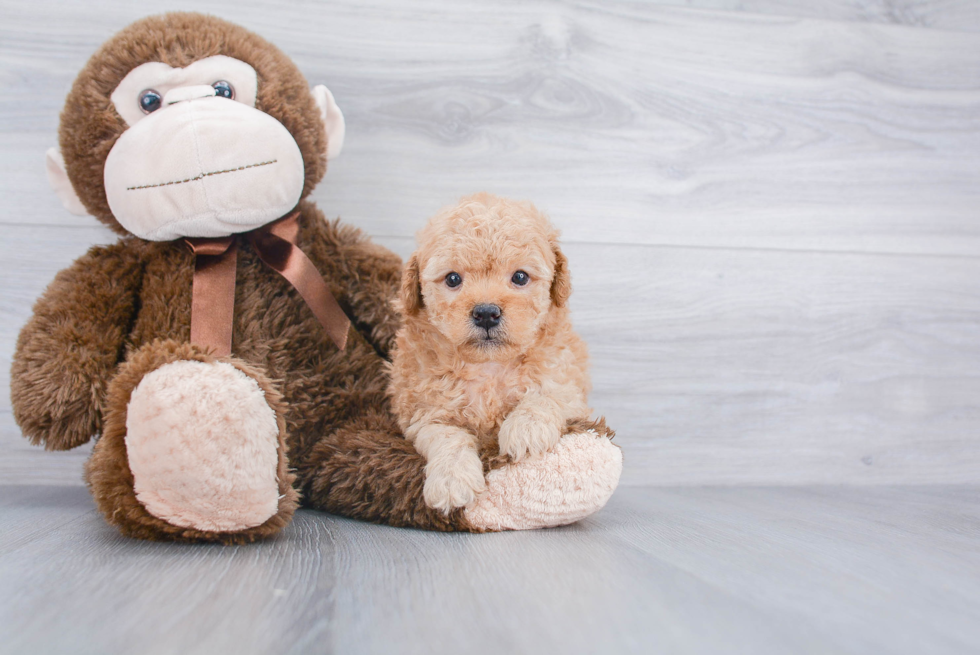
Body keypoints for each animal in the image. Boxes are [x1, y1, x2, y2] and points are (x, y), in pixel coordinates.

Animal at [388, 192, 588, 516]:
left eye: (520, 277)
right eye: (452, 279)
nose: (485, 313)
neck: (488, 366)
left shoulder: (568, 385)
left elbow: (546, 395)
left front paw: (525, 429)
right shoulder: (425, 412)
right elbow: (448, 438)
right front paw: (451, 481)